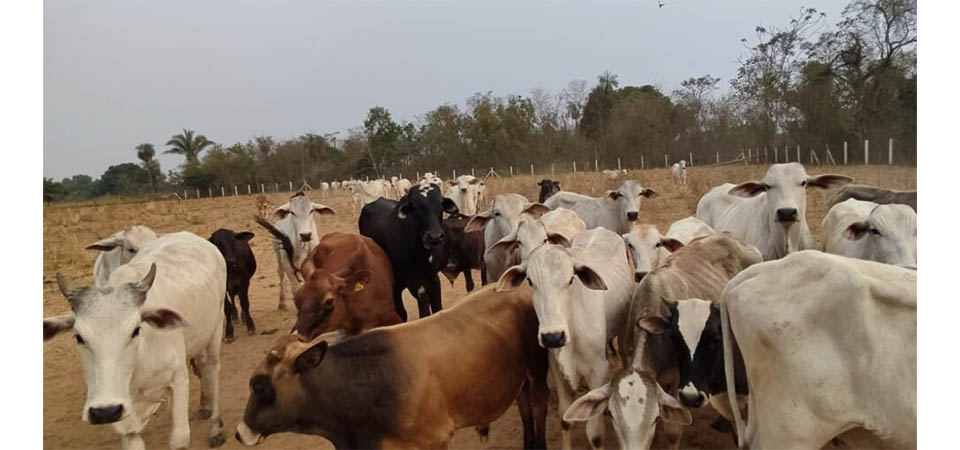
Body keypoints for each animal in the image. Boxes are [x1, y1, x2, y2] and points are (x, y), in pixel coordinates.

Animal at [44, 232, 228, 450]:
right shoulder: (126, 421)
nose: (105, 412)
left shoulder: (178, 381)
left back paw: (216, 427)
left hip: (215, 332)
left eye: (135, 330)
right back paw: (205, 406)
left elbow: (179, 438)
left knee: (212, 369)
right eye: (79, 337)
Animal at [235, 285, 549, 449]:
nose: (239, 432)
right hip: (519, 381)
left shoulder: (434, 440)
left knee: (538, 410)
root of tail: (516, 291)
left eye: (259, 386)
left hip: (537, 373)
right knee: (524, 408)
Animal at [358, 183, 459, 321]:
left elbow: (437, 309)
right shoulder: (408, 285)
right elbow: (413, 313)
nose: (435, 237)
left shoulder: (432, 280)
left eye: (441, 205)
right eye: (415, 207)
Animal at [496, 228, 633, 450]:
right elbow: (565, 420)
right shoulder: (558, 371)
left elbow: (595, 434)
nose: (553, 337)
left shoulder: (599, 369)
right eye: (530, 281)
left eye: (571, 279)